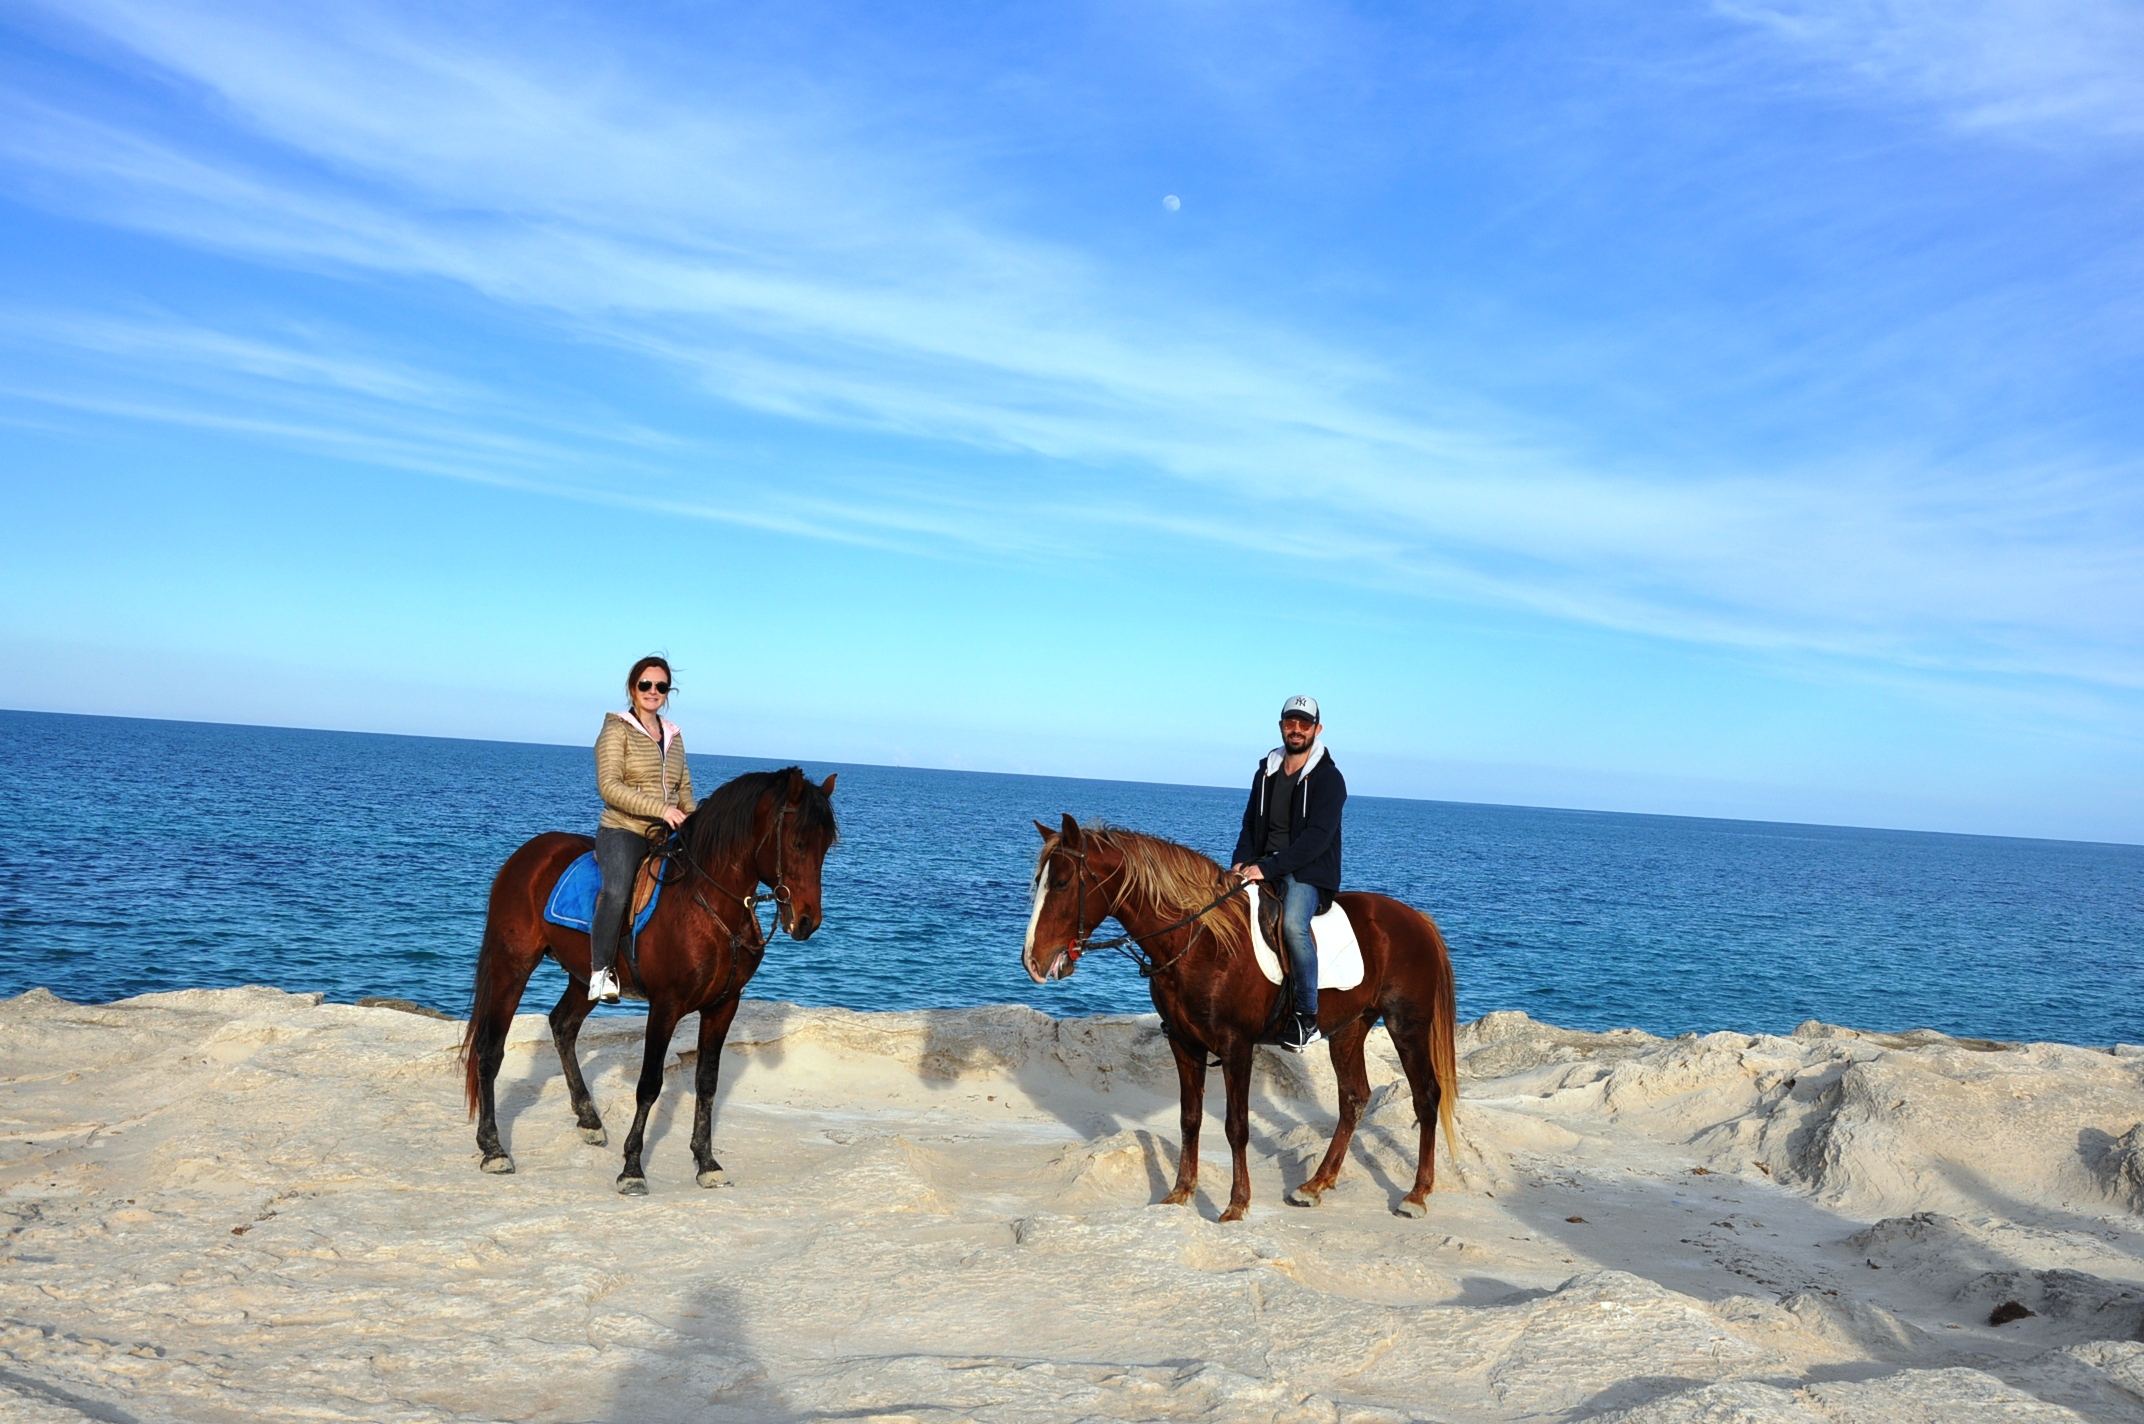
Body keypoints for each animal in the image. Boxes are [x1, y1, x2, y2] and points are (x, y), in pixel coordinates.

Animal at [460, 767, 838, 1194]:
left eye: (827, 846)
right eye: (798, 842)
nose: (807, 921)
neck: (706, 904)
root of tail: (527, 854)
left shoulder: (723, 1005)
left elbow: (707, 1082)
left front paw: (707, 1162)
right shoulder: (666, 1005)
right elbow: (649, 1084)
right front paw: (632, 1168)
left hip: (584, 976)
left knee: (562, 1025)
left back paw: (588, 1118)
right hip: (512, 965)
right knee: (490, 1049)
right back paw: (493, 1148)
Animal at [1021, 814, 1457, 1222]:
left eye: (1061, 883)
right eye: (1039, 881)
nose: (1032, 961)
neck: (1202, 942)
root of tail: (1417, 919)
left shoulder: (1236, 1047)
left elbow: (1236, 1127)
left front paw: (1236, 1203)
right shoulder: (1183, 1042)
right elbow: (1190, 1119)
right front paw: (1180, 1192)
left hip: (1407, 1025)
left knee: (1426, 1097)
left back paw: (1417, 1194)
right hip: (1349, 1029)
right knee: (1353, 1098)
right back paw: (1315, 1184)